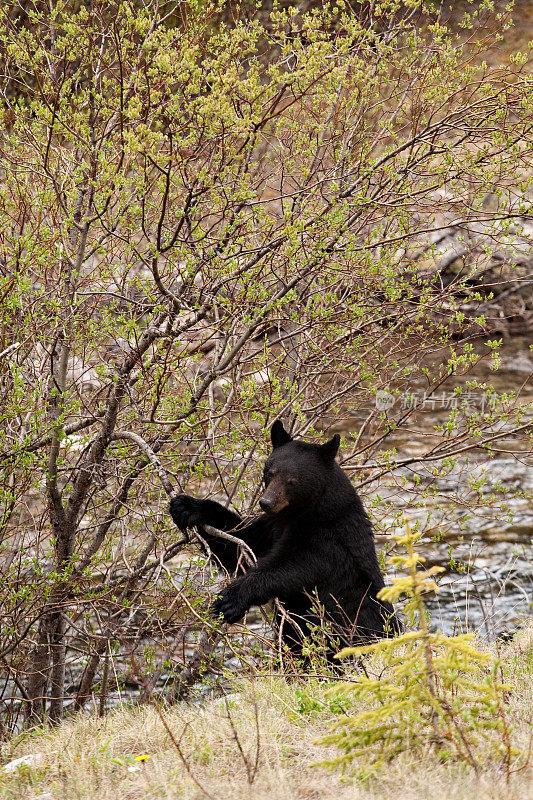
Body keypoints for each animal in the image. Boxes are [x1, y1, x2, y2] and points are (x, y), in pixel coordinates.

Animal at [170, 422, 400, 660]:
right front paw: (188, 506)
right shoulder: (272, 526)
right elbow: (240, 544)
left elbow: (291, 566)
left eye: (292, 481)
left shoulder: (329, 540)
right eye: (270, 472)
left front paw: (230, 600)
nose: (266, 502)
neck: (302, 515)